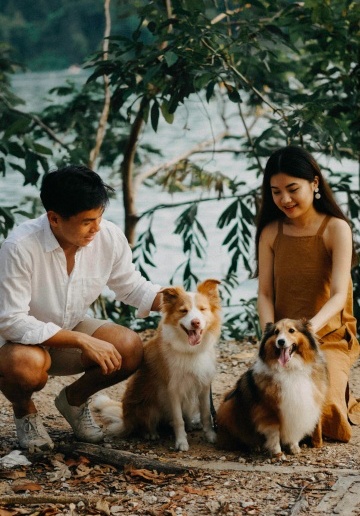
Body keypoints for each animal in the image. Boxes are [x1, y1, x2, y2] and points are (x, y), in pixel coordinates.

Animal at [93, 278, 221, 452]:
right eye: (183, 311)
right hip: (149, 406)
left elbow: (206, 414)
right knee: (145, 424)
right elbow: (178, 420)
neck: (189, 350)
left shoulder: (204, 385)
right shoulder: (173, 389)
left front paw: (211, 436)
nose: (195, 322)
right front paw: (181, 442)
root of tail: (125, 420)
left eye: (203, 309)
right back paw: (150, 433)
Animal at [215, 320, 328, 458]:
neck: (290, 369)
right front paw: (277, 453)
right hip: (230, 408)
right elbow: (274, 435)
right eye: (276, 332)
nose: (281, 341)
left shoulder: (298, 409)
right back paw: (254, 446)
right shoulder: (268, 412)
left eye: (291, 330)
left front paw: (294, 447)